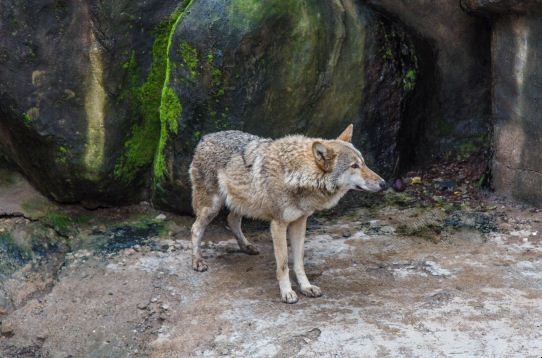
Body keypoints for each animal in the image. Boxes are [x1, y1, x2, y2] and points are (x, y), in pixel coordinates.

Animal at [190, 124, 386, 304]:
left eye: (364, 163)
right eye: (354, 166)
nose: (384, 183)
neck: (296, 175)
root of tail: (205, 137)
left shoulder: (300, 222)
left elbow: (298, 262)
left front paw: (306, 287)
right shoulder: (278, 225)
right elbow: (283, 264)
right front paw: (287, 292)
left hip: (243, 204)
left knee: (231, 220)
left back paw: (246, 247)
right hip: (211, 208)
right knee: (195, 229)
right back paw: (197, 261)